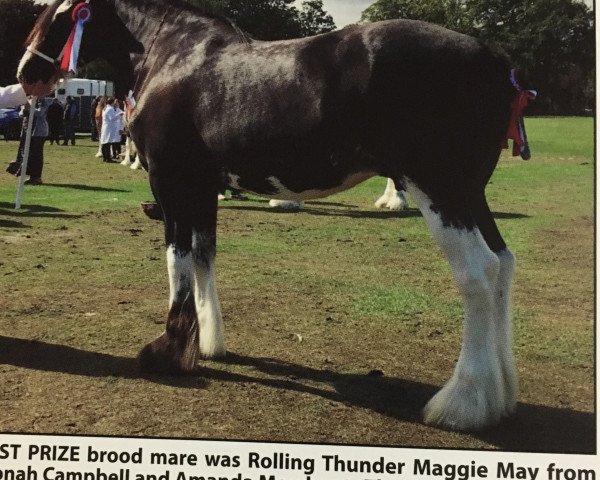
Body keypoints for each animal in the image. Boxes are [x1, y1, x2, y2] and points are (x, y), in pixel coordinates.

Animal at [17, 0, 524, 432]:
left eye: (57, 14)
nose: (26, 74)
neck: (172, 56)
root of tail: (493, 59)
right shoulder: (202, 186)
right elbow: (203, 255)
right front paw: (208, 343)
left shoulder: (171, 182)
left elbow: (177, 257)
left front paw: (169, 351)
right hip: (469, 195)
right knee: (503, 265)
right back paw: (500, 396)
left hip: (440, 191)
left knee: (479, 273)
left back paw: (462, 404)